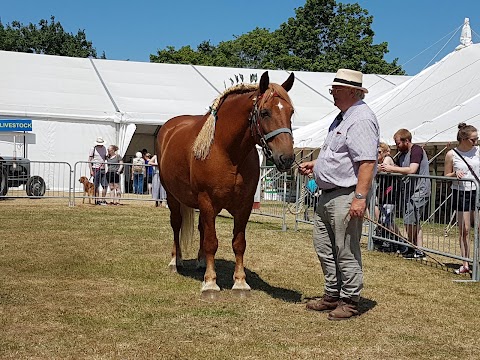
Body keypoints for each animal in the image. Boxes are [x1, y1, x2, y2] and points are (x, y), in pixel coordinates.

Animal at [158, 71, 294, 294]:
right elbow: (212, 242)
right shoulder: (207, 201)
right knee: (176, 225)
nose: (287, 158)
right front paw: (210, 282)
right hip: (173, 197)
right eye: (265, 112)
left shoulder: (244, 205)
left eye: (291, 112)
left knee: (201, 228)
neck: (228, 151)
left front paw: (240, 281)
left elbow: (238, 243)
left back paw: (201, 262)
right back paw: (175, 261)